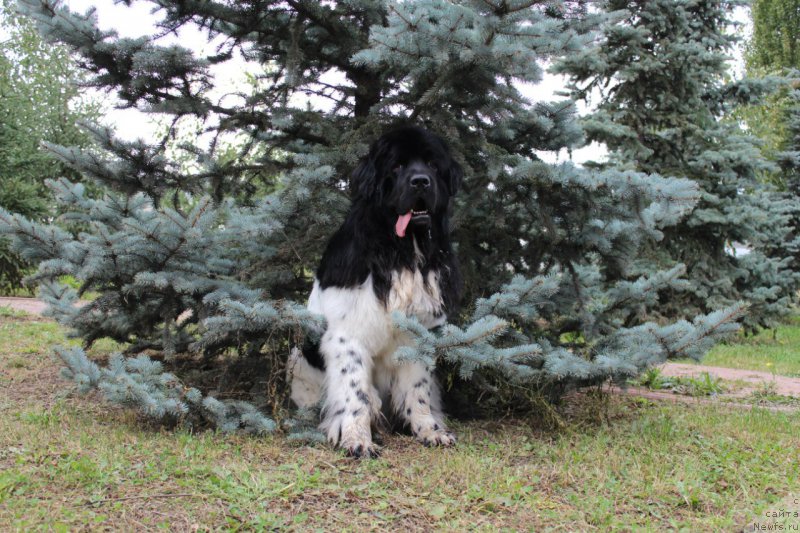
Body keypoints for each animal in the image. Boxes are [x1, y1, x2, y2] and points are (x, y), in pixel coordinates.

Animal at [288, 125, 462, 458]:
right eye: (397, 166)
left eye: (432, 165)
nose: (421, 181)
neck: (400, 251)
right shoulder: (347, 337)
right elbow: (355, 392)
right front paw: (357, 439)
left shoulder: (418, 335)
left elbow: (418, 389)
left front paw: (429, 430)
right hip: (298, 358)